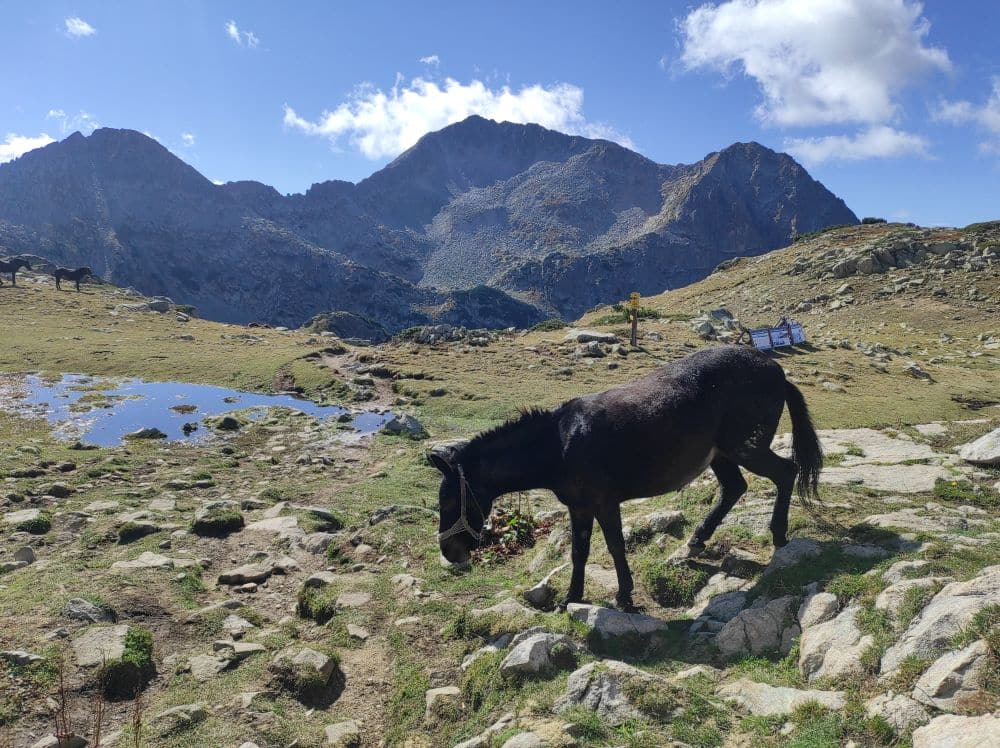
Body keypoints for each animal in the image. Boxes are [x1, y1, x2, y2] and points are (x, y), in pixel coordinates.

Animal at [430, 348, 820, 612]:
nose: (449, 553)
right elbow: (579, 551)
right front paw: (571, 599)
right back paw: (697, 540)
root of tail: (776, 370)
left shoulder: (604, 503)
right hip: (721, 455)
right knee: (735, 488)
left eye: (448, 501)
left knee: (786, 472)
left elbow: (615, 546)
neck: (559, 445)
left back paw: (779, 536)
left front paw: (625, 596)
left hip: (744, 448)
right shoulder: (579, 508)